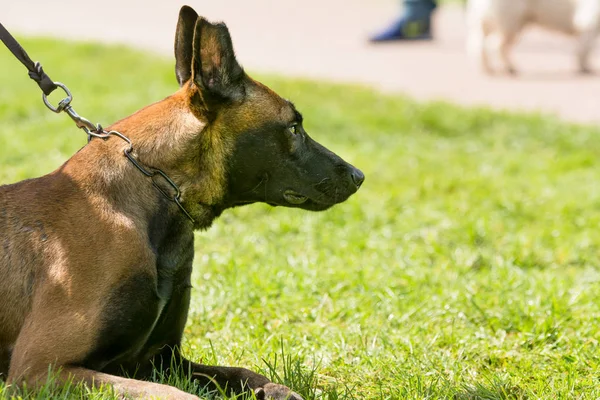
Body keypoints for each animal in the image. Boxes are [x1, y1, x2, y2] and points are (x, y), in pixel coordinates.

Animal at [0, 4, 364, 398]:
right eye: (294, 128)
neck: (151, 195)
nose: (358, 176)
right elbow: (171, 393)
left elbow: (242, 373)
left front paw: (276, 389)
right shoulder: (40, 368)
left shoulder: (162, 359)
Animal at [468, 0, 600, 73]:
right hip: (510, 24)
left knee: (485, 46)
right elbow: (584, 51)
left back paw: (492, 68)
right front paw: (584, 68)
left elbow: (584, 50)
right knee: (494, 46)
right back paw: (507, 68)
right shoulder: (588, 25)